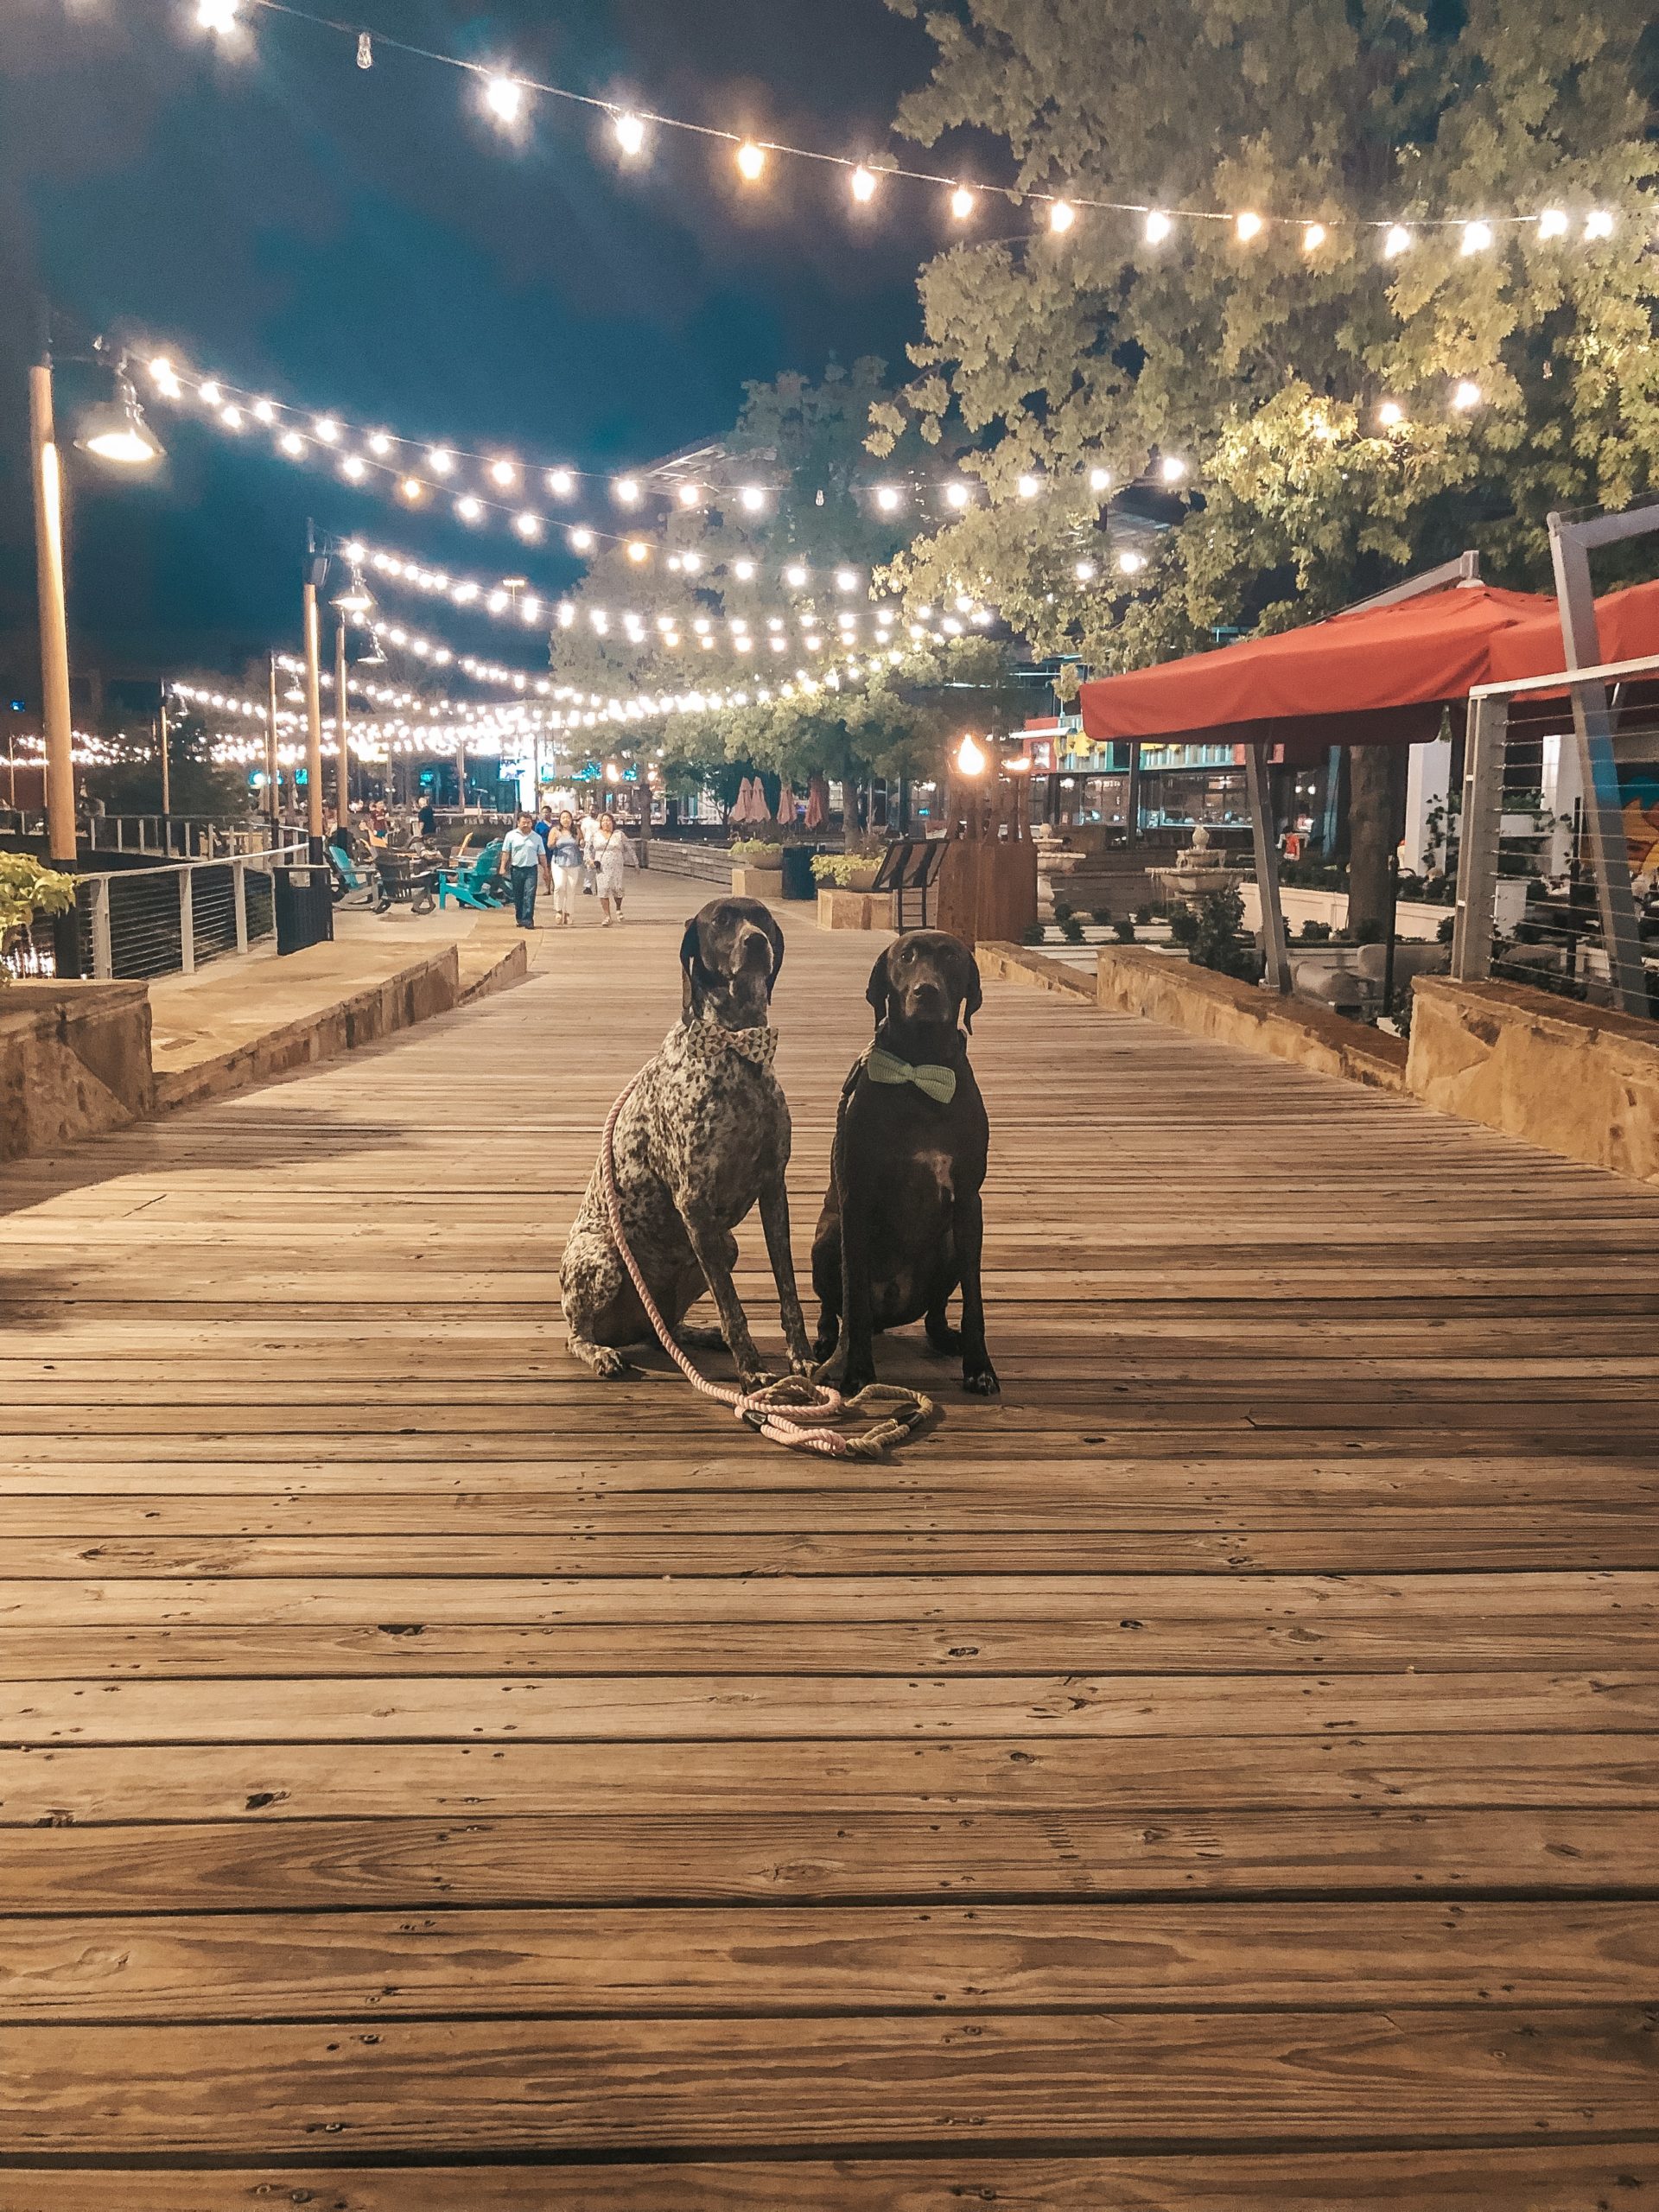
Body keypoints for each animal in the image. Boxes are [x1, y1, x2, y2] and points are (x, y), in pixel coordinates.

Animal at [562, 898, 814, 1380]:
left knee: (666, 1330)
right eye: (721, 920)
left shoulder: (774, 1189)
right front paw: (752, 1373)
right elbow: (733, 1308)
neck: (737, 1047)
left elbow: (788, 1289)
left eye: (763, 918)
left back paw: (696, 1333)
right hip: (603, 1257)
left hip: (724, 1247)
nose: (757, 942)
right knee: (577, 1335)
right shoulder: (695, 1205)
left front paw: (803, 1357)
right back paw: (601, 1353)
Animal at [814, 938, 1000, 1397]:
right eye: (905, 956)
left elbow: (974, 1299)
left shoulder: (968, 1203)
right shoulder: (856, 1199)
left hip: (949, 1243)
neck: (920, 1068)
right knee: (835, 1306)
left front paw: (979, 1368)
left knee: (935, 1311)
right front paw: (856, 1370)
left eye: (951, 956)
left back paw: (945, 1337)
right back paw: (826, 1340)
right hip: (826, 1237)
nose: (925, 991)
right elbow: (853, 1300)